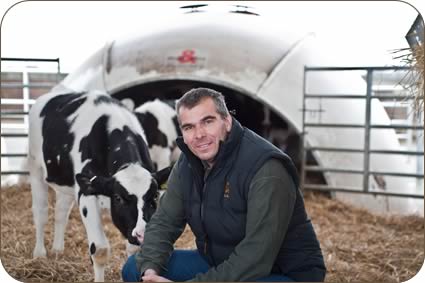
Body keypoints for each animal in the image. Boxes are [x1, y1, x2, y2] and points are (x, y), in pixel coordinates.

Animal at [28, 91, 169, 282]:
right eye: (118, 198)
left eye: (154, 196)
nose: (141, 233)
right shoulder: (86, 192)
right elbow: (100, 250)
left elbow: (133, 251)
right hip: (35, 167)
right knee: (41, 212)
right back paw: (39, 254)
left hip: (67, 183)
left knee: (61, 212)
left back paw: (57, 250)